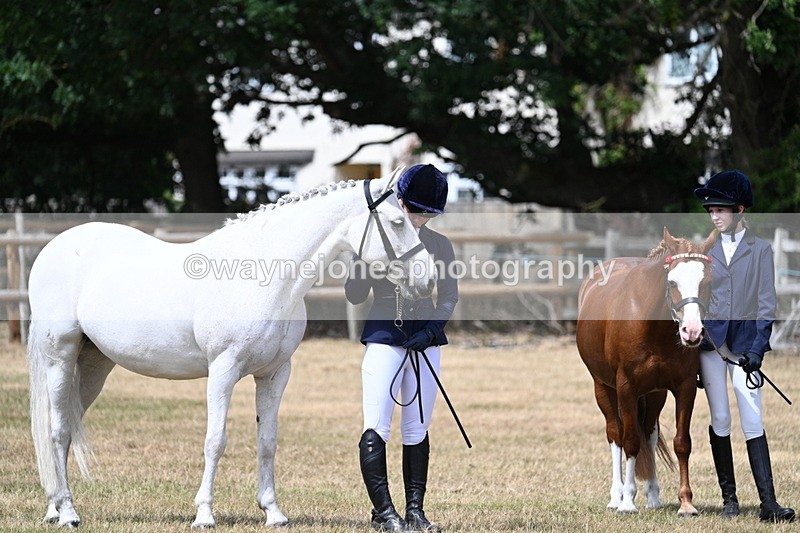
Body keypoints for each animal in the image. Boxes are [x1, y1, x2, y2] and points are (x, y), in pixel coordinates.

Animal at [26, 170, 437, 528]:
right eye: (397, 223)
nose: (428, 278)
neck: (261, 273)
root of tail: (53, 248)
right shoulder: (222, 370)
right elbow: (215, 441)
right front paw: (204, 514)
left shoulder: (274, 374)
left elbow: (267, 441)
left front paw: (273, 512)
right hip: (60, 357)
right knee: (58, 430)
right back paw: (68, 513)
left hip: (94, 366)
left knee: (64, 428)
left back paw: (54, 507)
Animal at [576, 227, 715, 516]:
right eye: (672, 282)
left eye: (707, 281)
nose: (692, 332)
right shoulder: (626, 389)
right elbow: (630, 441)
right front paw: (628, 502)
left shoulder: (684, 388)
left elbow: (682, 443)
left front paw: (686, 503)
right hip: (603, 388)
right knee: (615, 435)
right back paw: (616, 496)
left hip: (654, 395)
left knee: (649, 434)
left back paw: (653, 496)